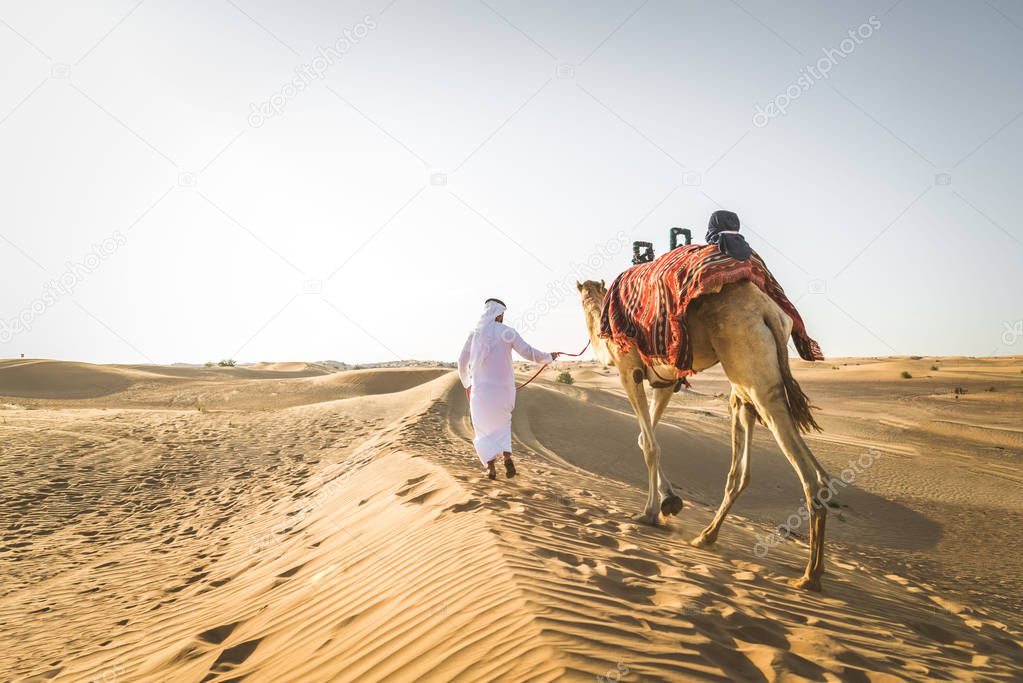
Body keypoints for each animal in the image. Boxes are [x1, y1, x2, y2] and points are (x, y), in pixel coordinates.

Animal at [576, 279, 829, 590]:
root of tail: (769, 312)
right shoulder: (665, 381)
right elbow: (645, 440)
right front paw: (669, 502)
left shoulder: (629, 368)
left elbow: (650, 445)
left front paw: (649, 513)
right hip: (747, 380)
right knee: (758, 469)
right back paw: (708, 537)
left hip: (752, 372)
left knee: (805, 473)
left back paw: (808, 576)